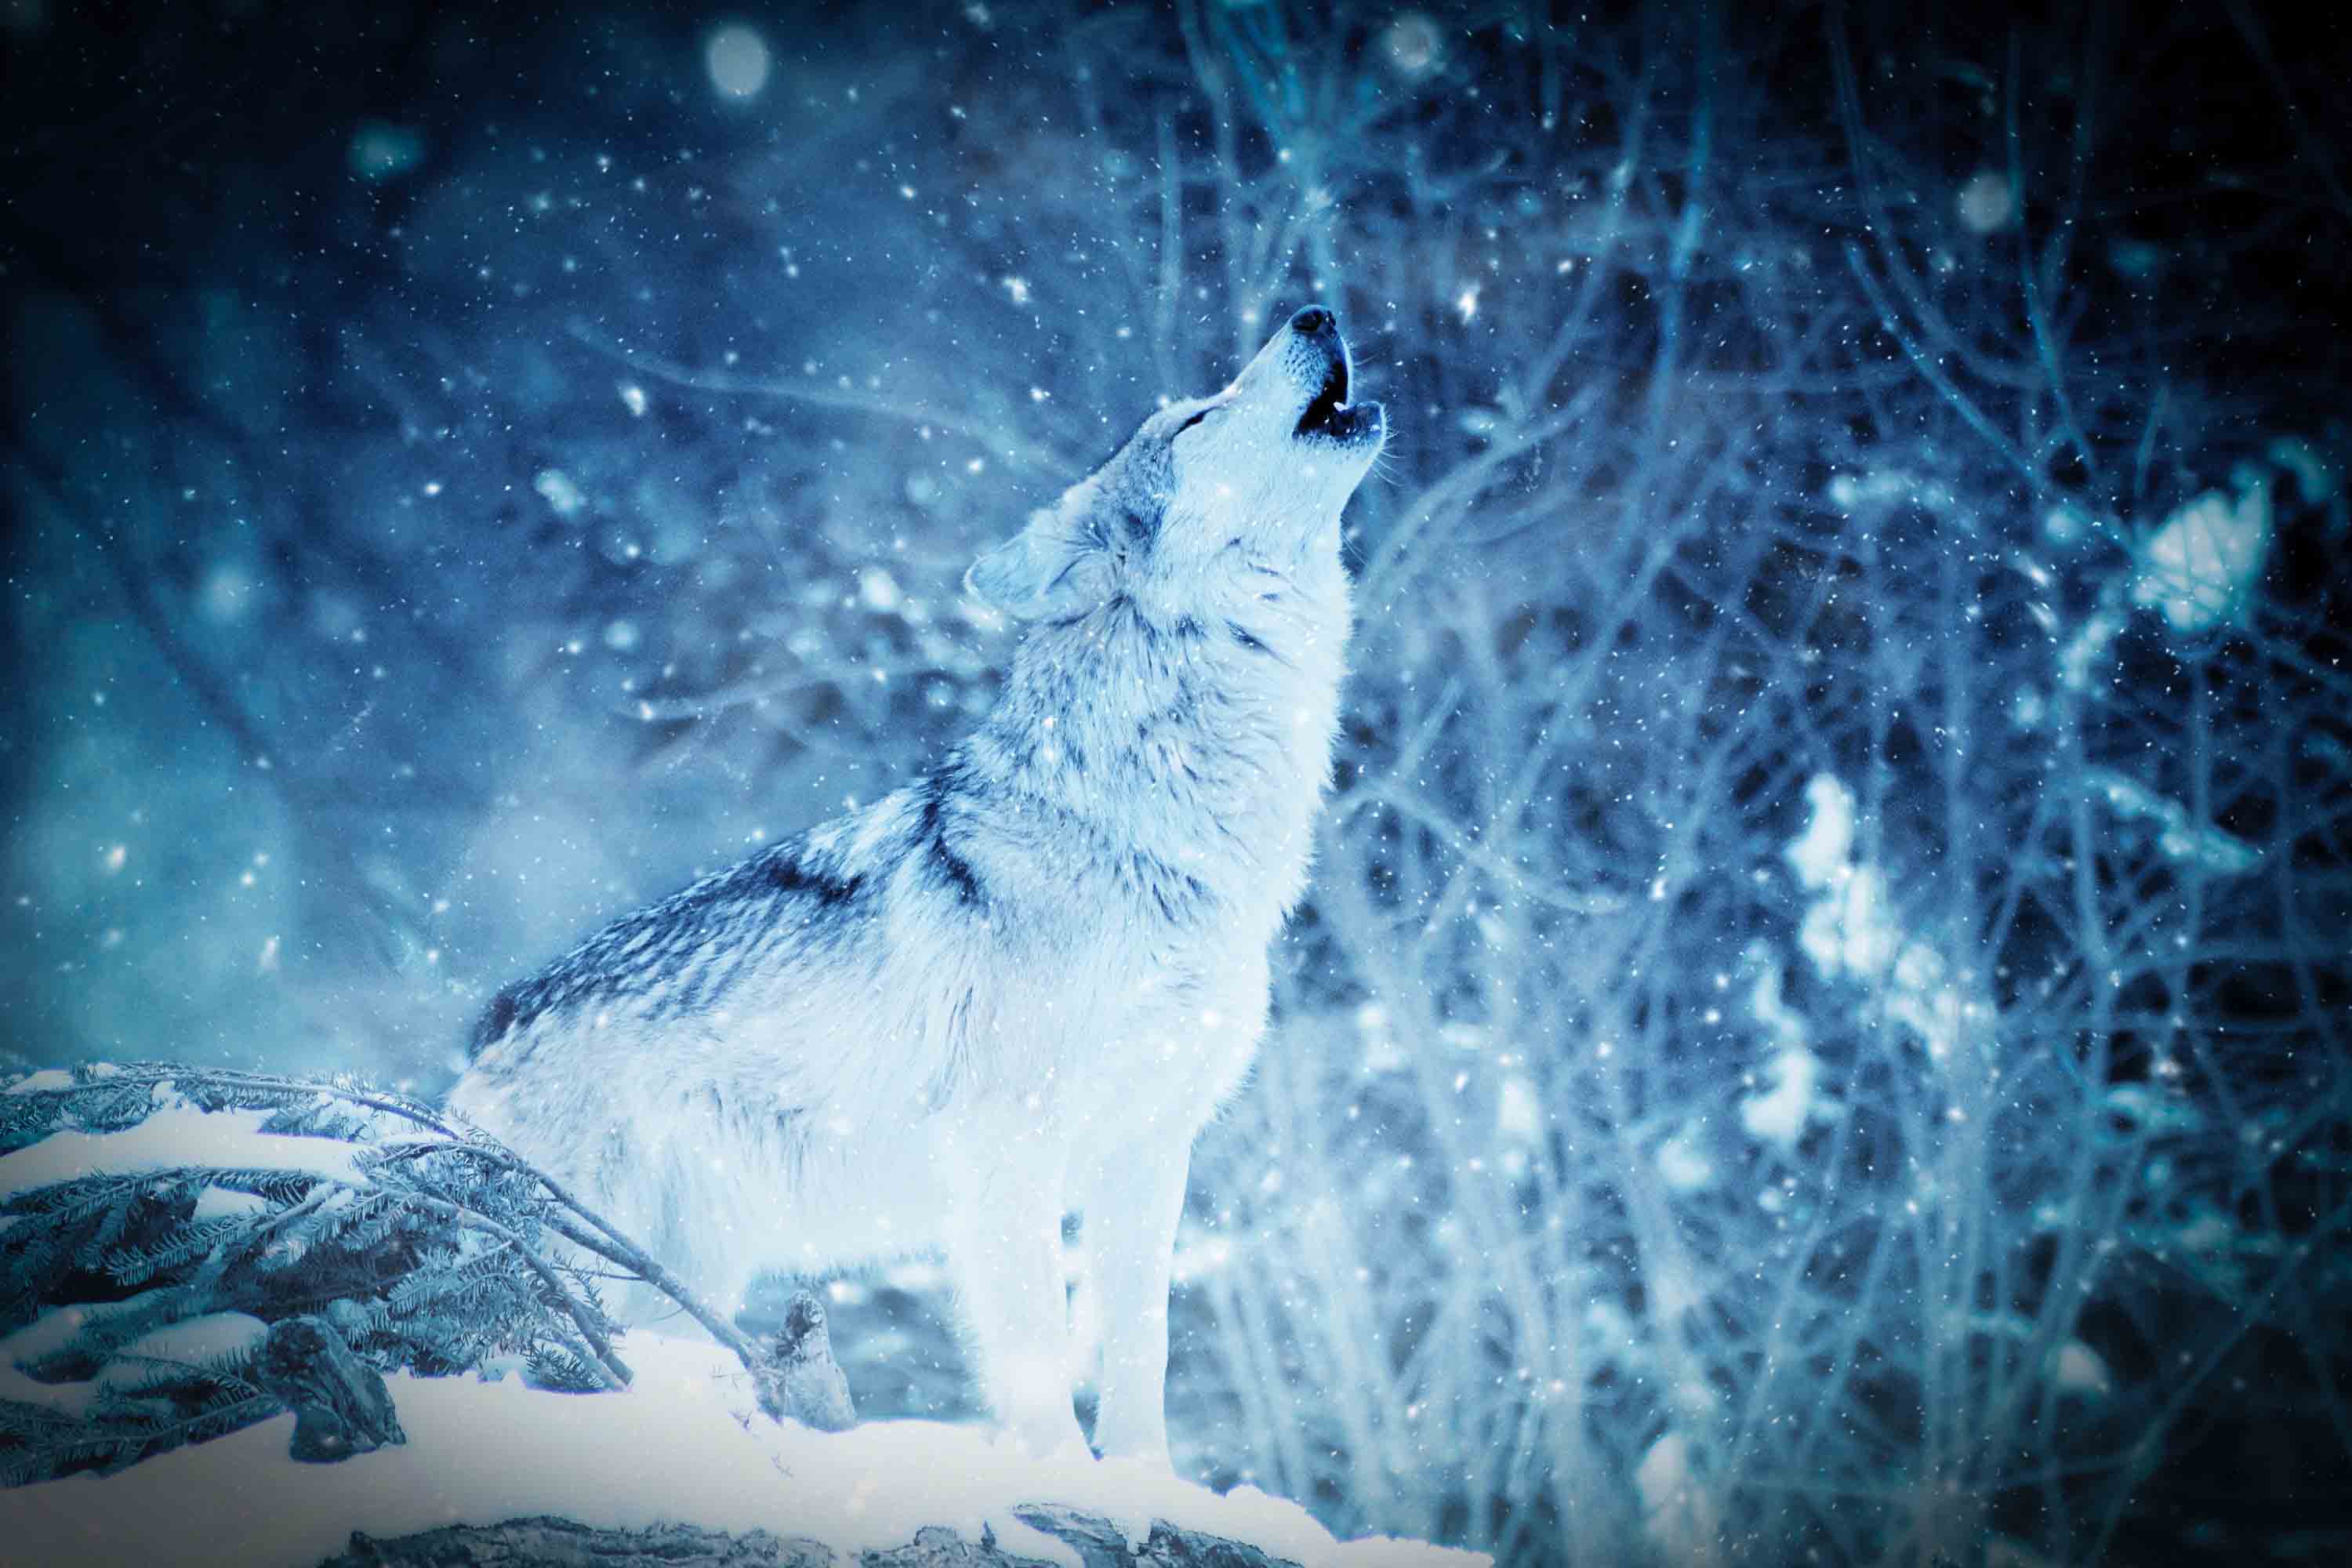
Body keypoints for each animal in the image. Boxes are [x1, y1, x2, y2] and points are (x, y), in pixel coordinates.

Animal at [447, 306, 1385, 1463]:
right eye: (1198, 417)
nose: (1315, 312)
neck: (1147, 826)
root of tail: (489, 1023)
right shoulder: (1006, 1155)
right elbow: (1034, 1364)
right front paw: (1063, 1484)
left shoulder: (1147, 1152)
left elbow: (1141, 1353)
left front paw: (1147, 1482)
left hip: (682, 1277)